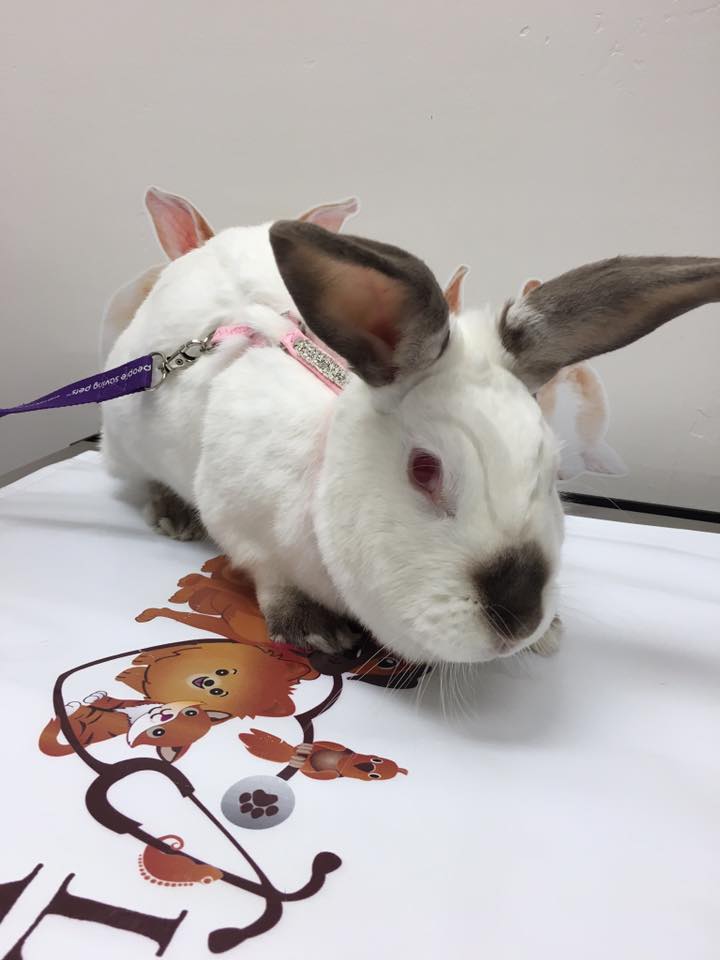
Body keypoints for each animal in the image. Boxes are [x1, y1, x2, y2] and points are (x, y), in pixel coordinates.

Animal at [102, 190, 720, 664]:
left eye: (551, 473)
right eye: (424, 470)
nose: (519, 620)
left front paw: (551, 634)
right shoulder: (241, 516)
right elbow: (268, 572)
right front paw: (315, 630)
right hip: (126, 436)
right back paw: (172, 514)